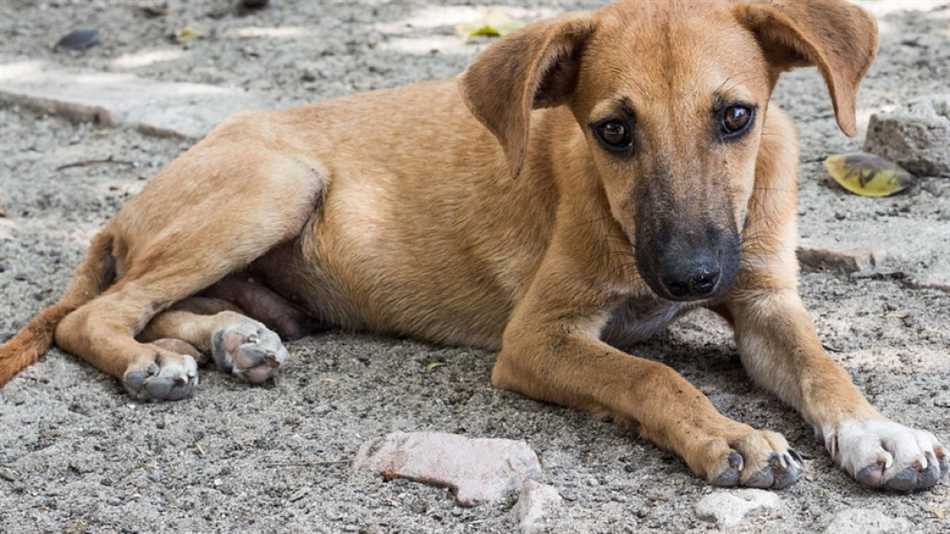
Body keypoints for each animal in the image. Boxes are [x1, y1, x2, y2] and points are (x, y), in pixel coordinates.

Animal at [0, 0, 948, 494]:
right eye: (612, 131)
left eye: (737, 117)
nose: (689, 275)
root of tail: (125, 208)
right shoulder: (539, 337)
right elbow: (652, 375)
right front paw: (730, 434)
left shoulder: (763, 301)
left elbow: (824, 367)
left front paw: (879, 432)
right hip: (274, 183)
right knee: (100, 313)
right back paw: (149, 362)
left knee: (173, 305)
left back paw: (235, 339)